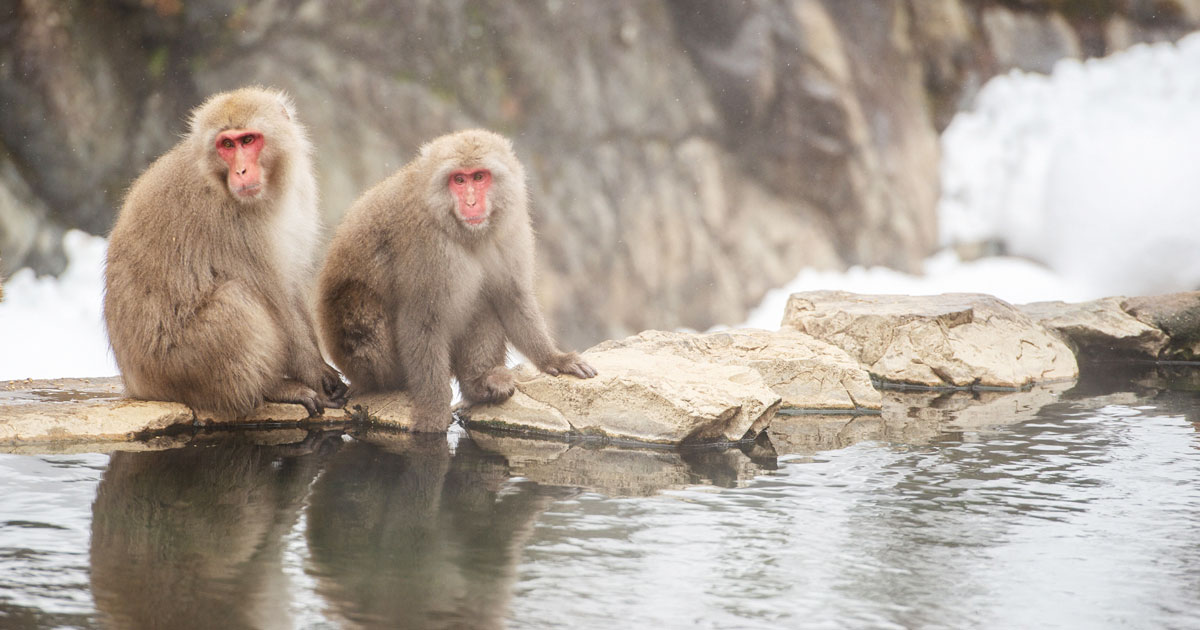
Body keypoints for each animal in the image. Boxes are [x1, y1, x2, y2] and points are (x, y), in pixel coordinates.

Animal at [102, 84, 348, 417]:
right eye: (226, 145)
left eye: (248, 140)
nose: (241, 171)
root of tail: (136, 384)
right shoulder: (230, 223)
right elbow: (275, 298)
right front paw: (316, 375)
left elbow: (292, 284)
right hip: (178, 365)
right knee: (236, 299)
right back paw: (271, 389)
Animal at [319, 127, 595, 432]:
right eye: (459, 180)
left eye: (479, 177)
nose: (471, 202)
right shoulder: (426, 244)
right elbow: (422, 319)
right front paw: (433, 412)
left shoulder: (510, 228)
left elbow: (511, 296)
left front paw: (554, 358)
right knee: (358, 303)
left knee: (482, 300)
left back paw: (480, 385)